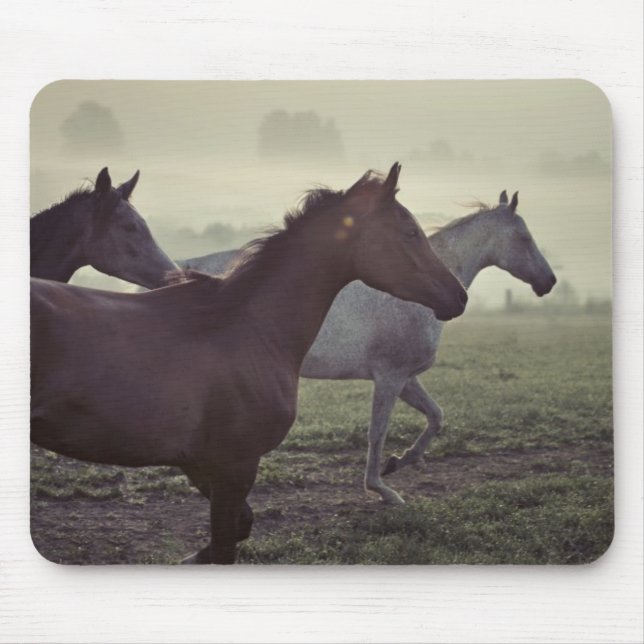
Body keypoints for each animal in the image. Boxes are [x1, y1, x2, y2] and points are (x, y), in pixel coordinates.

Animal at [181, 189, 557, 504]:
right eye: (524, 238)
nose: (549, 281)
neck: (414, 293)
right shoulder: (390, 378)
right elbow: (378, 432)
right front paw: (382, 489)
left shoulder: (406, 378)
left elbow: (435, 416)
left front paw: (403, 461)